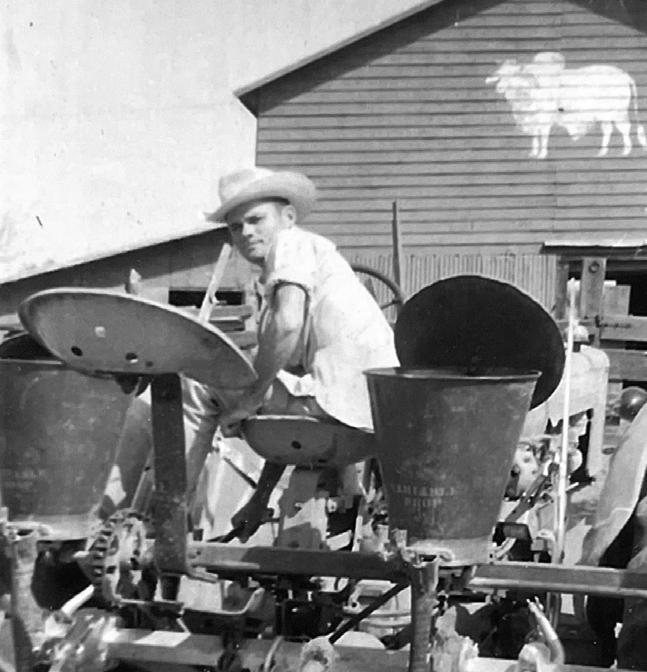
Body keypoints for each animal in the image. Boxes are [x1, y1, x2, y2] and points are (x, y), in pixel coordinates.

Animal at [486, 51, 647, 159]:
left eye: (513, 75)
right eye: (500, 75)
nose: (498, 88)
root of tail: (624, 75)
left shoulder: (544, 120)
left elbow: (543, 136)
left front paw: (542, 154)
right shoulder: (533, 120)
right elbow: (535, 136)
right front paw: (533, 153)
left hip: (618, 112)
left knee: (625, 128)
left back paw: (626, 150)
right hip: (605, 114)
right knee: (608, 129)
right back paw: (602, 151)